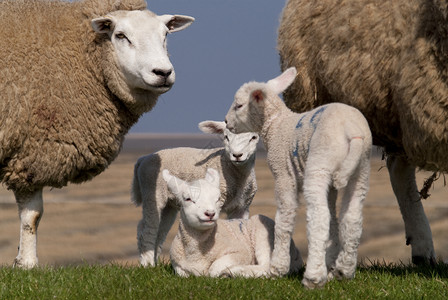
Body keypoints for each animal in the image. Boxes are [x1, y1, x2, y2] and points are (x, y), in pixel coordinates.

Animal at [0, 0, 194, 268]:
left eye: (165, 34)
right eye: (120, 35)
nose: (163, 72)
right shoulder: (33, 150)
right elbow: (33, 215)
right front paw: (28, 264)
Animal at [132, 120, 260, 266]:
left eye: (254, 137)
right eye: (226, 137)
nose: (237, 155)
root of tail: (143, 159)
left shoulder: (242, 206)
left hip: (168, 205)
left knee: (160, 231)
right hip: (152, 192)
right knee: (147, 229)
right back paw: (148, 264)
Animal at [163, 168, 302, 278]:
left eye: (218, 199)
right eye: (188, 199)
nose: (210, 213)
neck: (196, 253)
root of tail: (296, 252)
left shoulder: (240, 252)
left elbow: (214, 269)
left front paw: (225, 272)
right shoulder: (177, 265)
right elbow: (182, 273)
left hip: (265, 236)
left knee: (267, 267)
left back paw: (235, 271)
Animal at [226, 68, 372, 288]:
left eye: (239, 105)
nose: (226, 122)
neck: (276, 125)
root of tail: (352, 132)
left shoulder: (283, 173)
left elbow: (284, 218)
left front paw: (278, 268)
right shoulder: (331, 186)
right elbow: (334, 219)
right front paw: (330, 263)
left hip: (320, 162)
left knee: (319, 217)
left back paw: (313, 277)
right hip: (360, 168)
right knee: (352, 217)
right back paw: (343, 271)